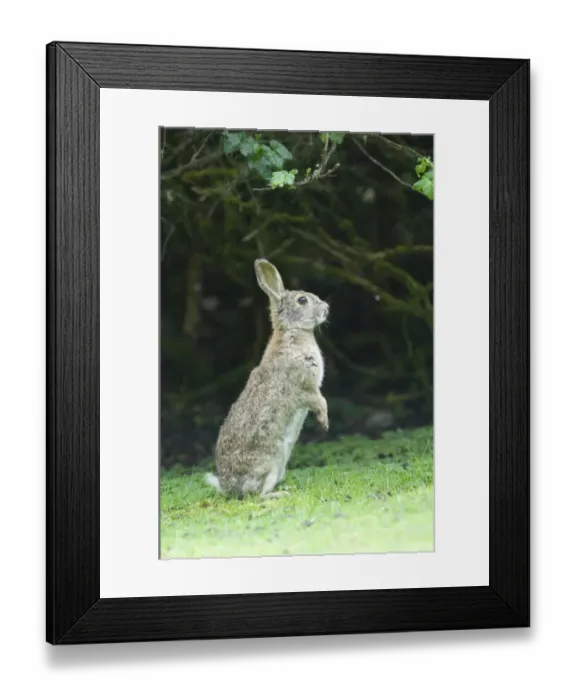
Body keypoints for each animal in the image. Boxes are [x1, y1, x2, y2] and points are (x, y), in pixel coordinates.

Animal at [205, 258, 330, 499]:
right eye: (302, 300)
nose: (326, 308)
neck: (292, 332)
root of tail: (229, 488)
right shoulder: (303, 388)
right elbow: (319, 400)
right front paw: (324, 422)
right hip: (270, 461)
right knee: (256, 496)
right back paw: (278, 495)